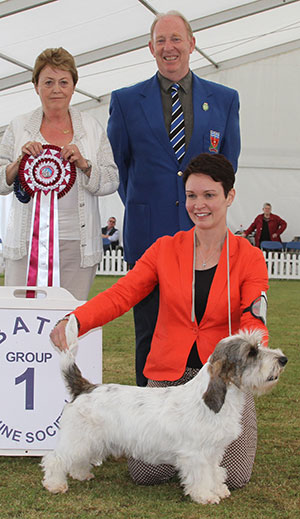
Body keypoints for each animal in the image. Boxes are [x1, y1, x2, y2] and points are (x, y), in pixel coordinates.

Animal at [41, 314, 288, 506]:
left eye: (259, 346)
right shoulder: (196, 454)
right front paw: (205, 496)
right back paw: (55, 484)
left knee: (77, 460)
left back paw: (81, 474)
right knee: (55, 458)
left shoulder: (213, 452)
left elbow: (214, 472)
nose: (283, 359)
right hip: (78, 438)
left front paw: (218, 489)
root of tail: (85, 388)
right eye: (252, 353)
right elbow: (201, 476)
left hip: (90, 441)